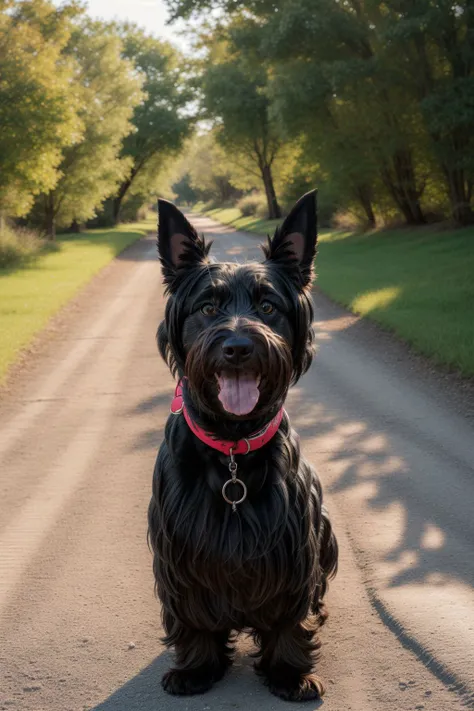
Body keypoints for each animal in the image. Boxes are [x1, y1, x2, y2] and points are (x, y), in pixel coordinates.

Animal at [148, 192, 336, 704]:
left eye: (268, 306)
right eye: (208, 307)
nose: (237, 347)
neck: (231, 447)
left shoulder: (293, 550)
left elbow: (290, 617)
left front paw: (289, 672)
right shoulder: (180, 553)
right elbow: (192, 615)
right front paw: (196, 667)